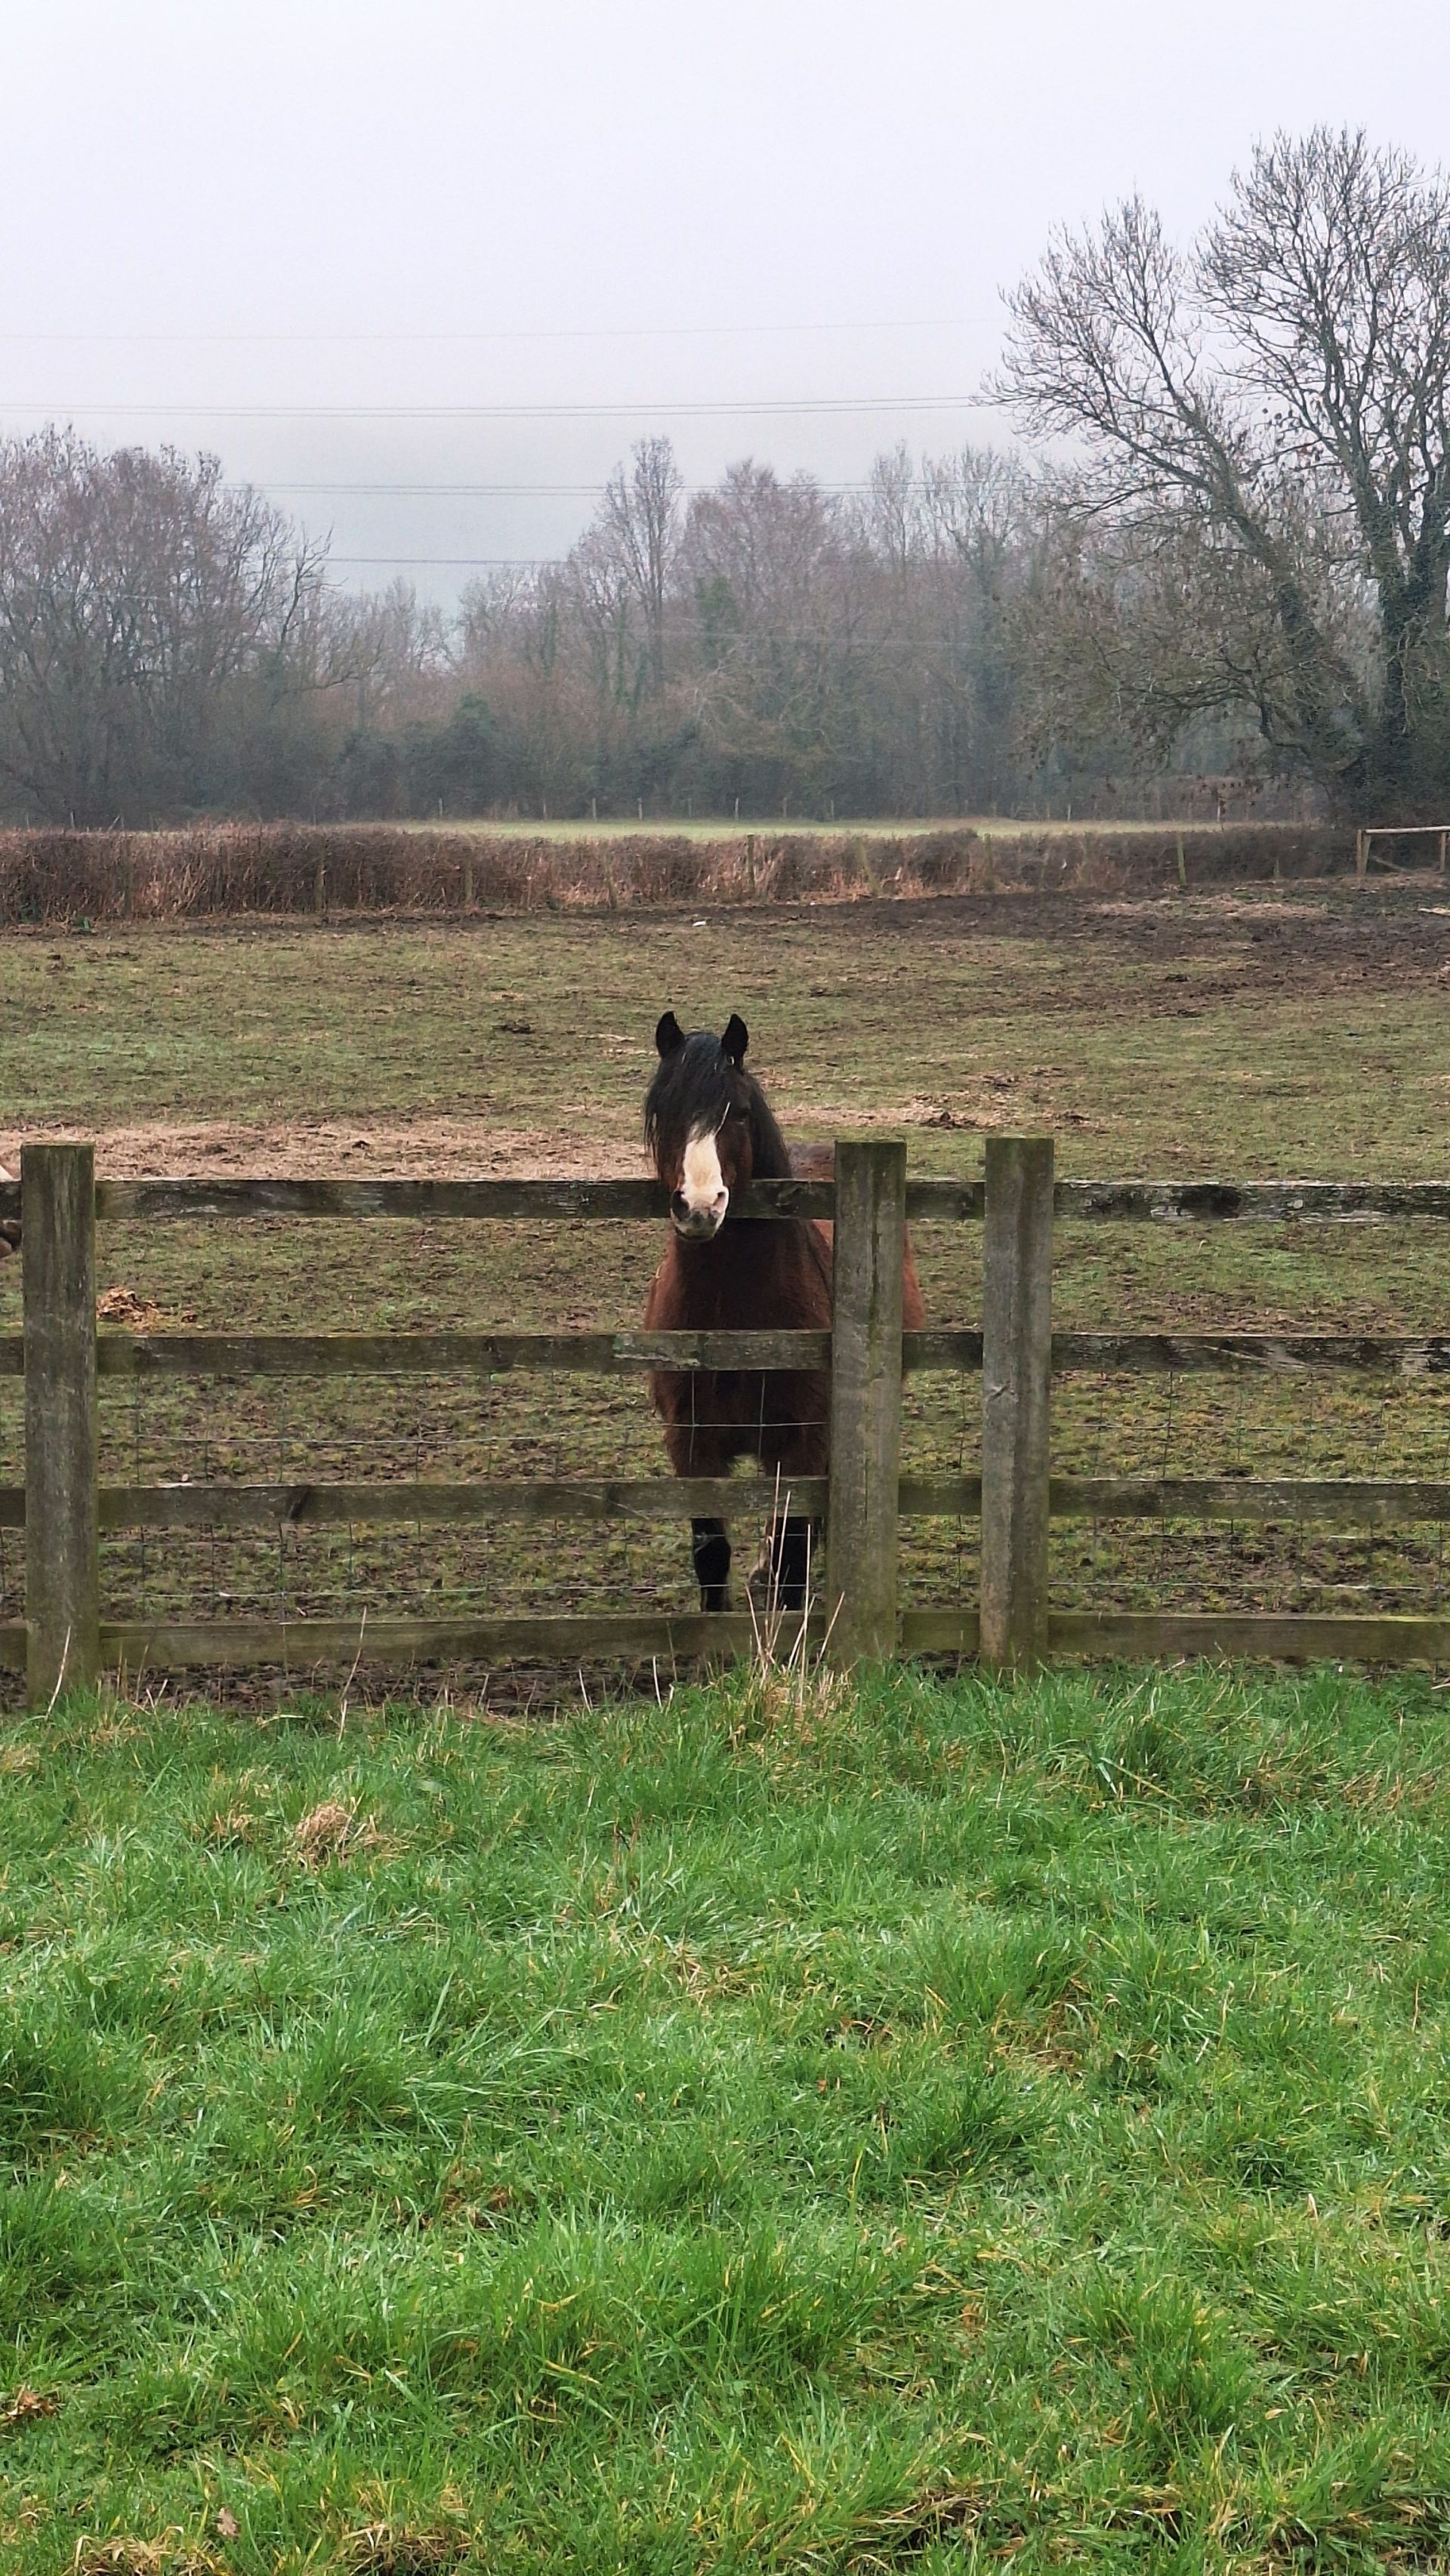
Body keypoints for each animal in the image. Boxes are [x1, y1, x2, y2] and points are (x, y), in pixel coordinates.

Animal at [642, 1011, 924, 1615]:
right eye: (665, 1109)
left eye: (740, 1112)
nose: (699, 1205)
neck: (734, 1323)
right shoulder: (692, 1446)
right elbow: (711, 1555)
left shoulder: (803, 1442)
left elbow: (796, 1556)